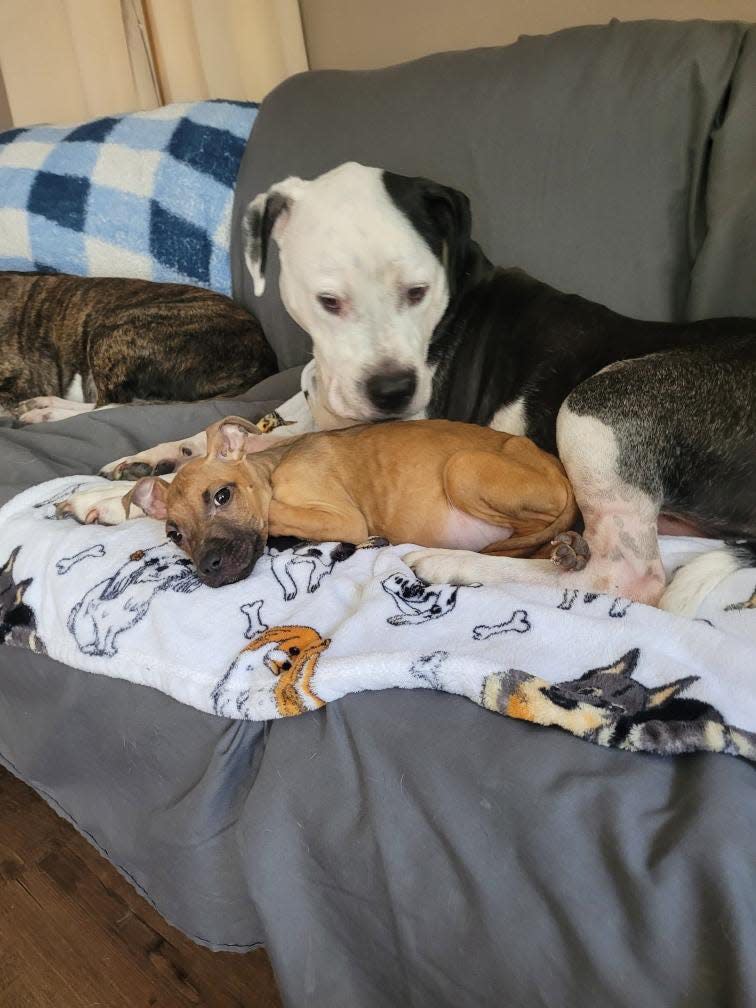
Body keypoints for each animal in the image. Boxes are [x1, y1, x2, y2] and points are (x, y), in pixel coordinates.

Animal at [124, 419, 584, 588]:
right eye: (174, 535)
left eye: (223, 495)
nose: (210, 568)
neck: (275, 465)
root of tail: (557, 467)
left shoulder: (343, 519)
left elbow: (271, 510)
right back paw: (568, 551)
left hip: (463, 467)